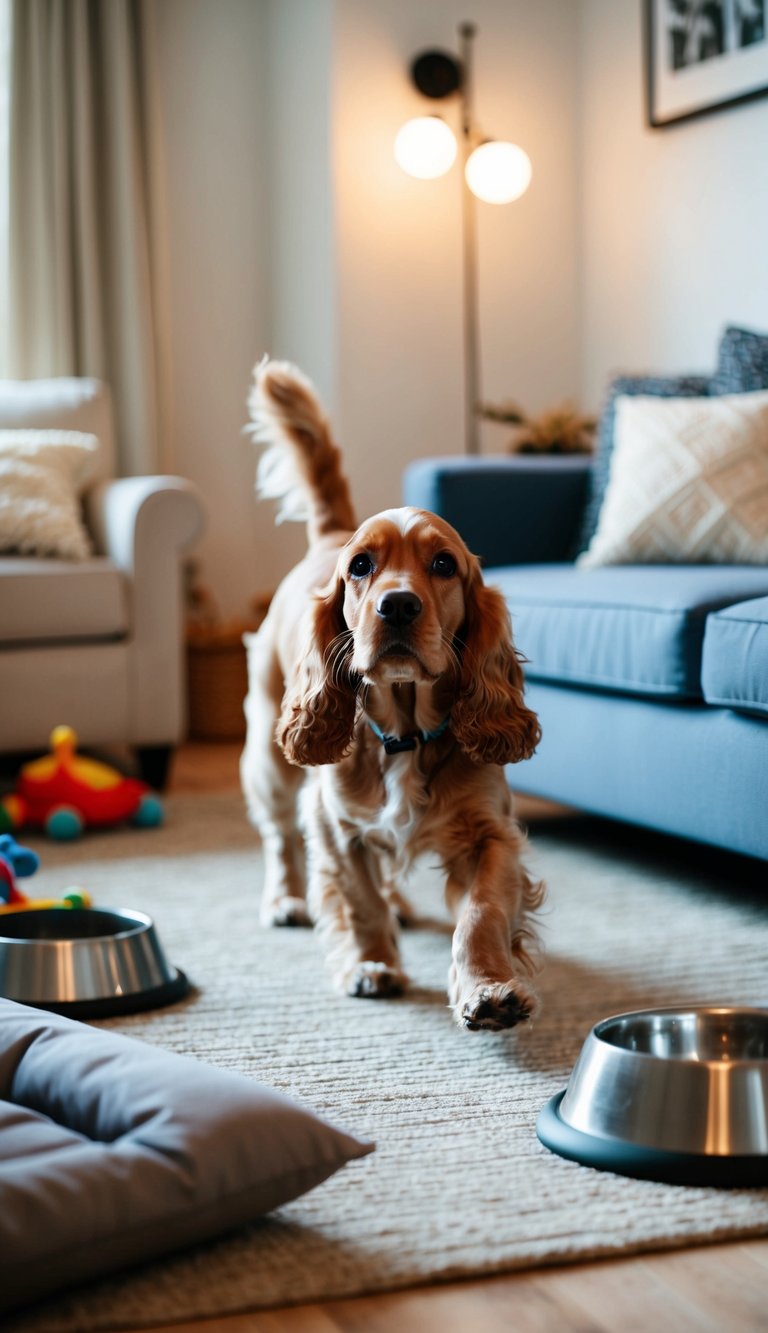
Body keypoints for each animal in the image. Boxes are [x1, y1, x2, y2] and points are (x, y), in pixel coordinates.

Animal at [240, 359, 544, 1031]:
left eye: (443, 564)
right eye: (361, 566)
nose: (397, 606)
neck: (405, 733)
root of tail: (327, 533)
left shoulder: (492, 833)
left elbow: (481, 914)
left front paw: (488, 990)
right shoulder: (334, 824)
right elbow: (358, 901)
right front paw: (372, 964)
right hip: (271, 760)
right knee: (277, 838)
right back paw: (284, 900)